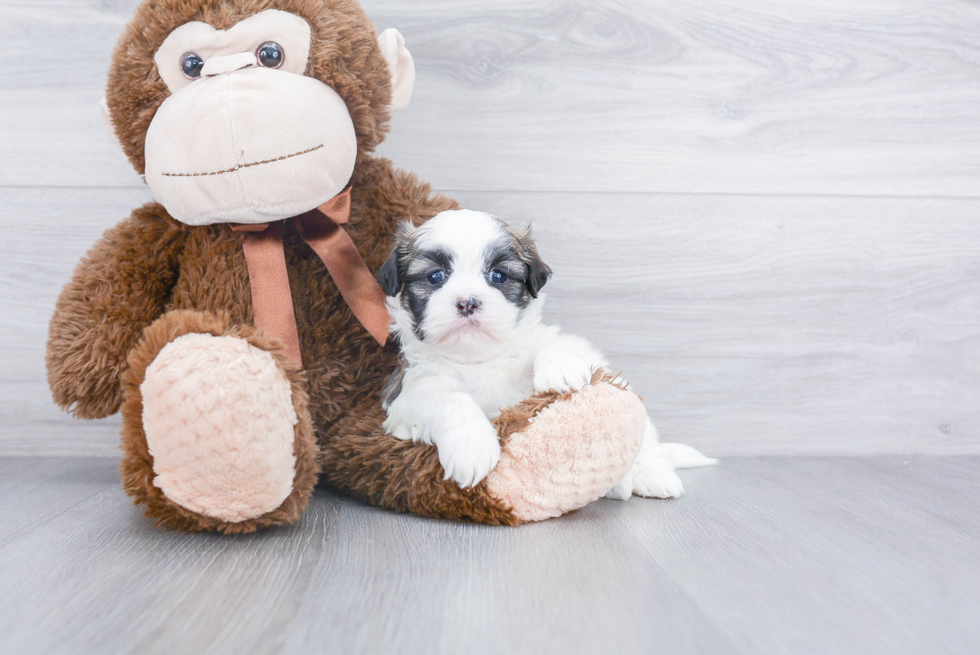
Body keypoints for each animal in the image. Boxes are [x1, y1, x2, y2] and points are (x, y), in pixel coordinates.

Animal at [376, 210, 712, 498]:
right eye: (435, 277)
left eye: (498, 276)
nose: (468, 302)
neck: (479, 358)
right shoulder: (410, 395)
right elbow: (452, 399)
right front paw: (472, 449)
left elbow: (550, 343)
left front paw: (560, 368)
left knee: (648, 448)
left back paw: (652, 476)